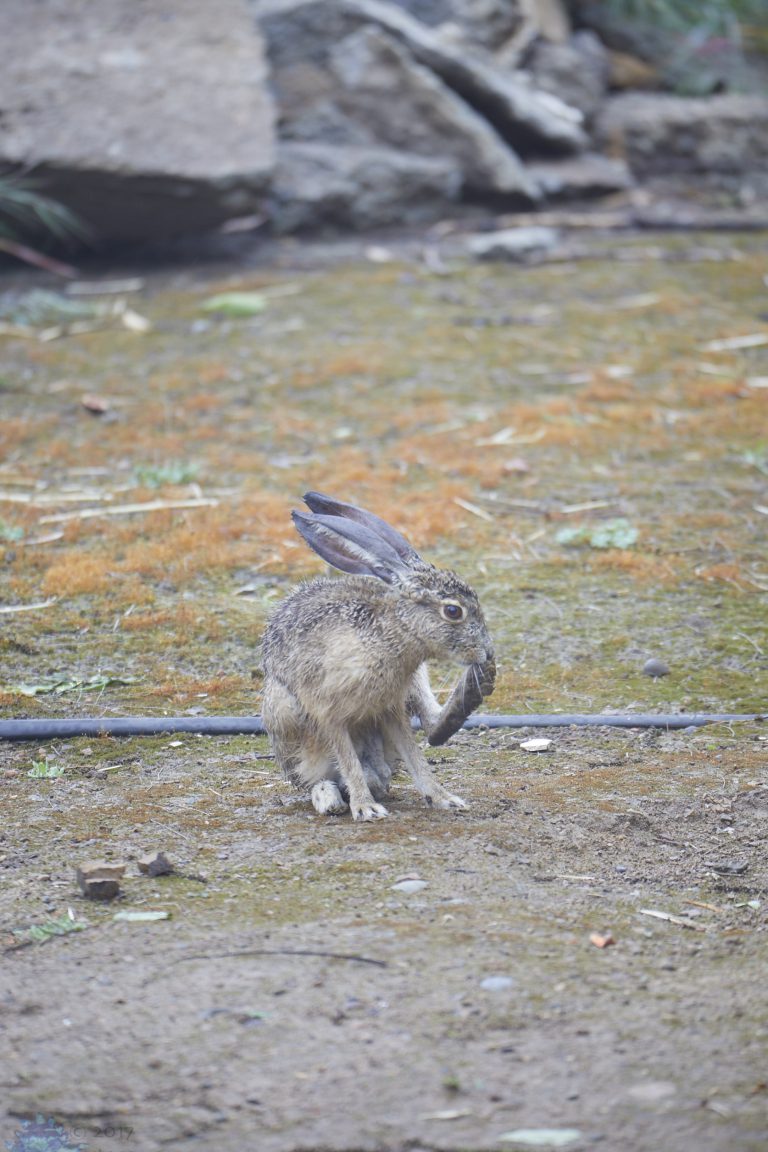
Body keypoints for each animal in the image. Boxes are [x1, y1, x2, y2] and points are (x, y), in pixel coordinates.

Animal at [261, 492, 496, 821]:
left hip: (414, 686)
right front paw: (366, 808)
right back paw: (331, 798)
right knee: (314, 777)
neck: (391, 633)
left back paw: (475, 690)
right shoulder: (327, 710)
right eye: (453, 611)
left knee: (430, 727)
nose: (487, 651)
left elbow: (415, 756)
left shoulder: (391, 708)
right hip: (284, 709)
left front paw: (444, 798)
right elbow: (348, 761)